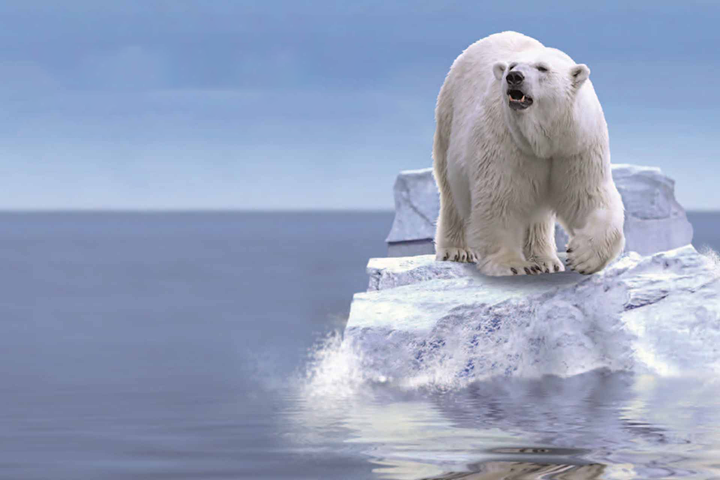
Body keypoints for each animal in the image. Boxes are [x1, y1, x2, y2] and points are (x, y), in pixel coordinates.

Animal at [433, 31, 625, 276]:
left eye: (542, 68)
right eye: (512, 65)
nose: (513, 77)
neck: (544, 139)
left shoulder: (576, 145)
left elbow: (588, 196)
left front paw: (582, 256)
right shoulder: (505, 140)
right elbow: (499, 198)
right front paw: (511, 264)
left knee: (537, 214)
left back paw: (544, 261)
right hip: (448, 118)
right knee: (451, 191)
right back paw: (457, 250)